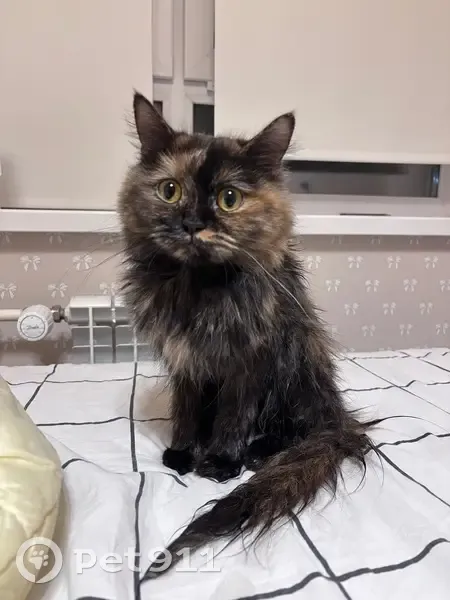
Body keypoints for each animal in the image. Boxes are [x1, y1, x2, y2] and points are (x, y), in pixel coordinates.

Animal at [119, 92, 377, 578]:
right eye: (169, 191)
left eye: (229, 199)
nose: (192, 223)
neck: (201, 292)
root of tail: (339, 418)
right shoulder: (184, 361)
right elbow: (186, 412)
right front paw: (183, 452)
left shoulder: (250, 362)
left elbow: (233, 417)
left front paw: (220, 461)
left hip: (296, 363)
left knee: (297, 430)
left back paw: (259, 453)